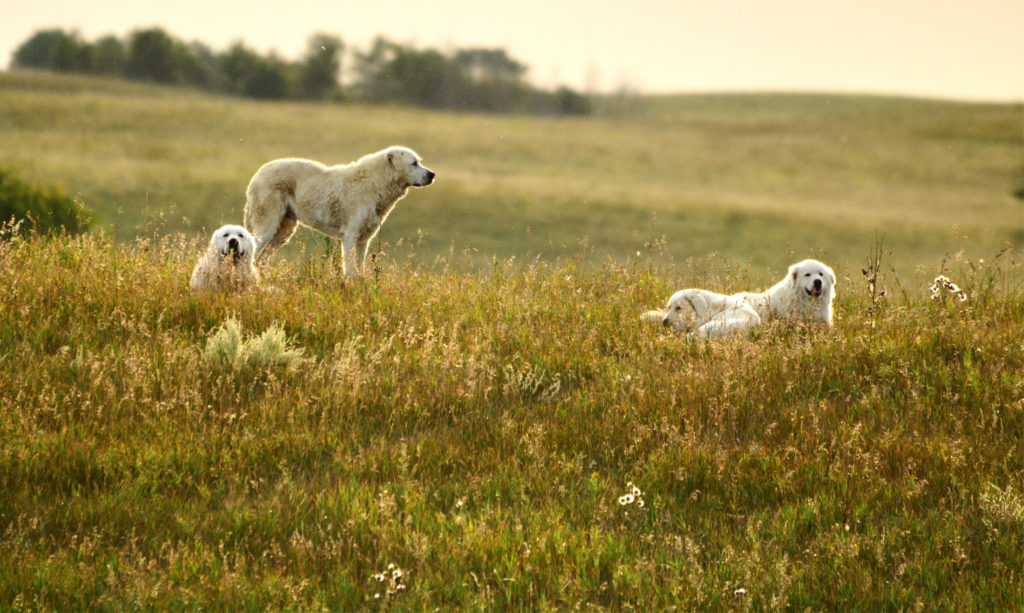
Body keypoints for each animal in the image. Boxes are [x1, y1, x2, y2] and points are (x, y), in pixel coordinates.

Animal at [243, 146, 436, 276]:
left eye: (419, 161)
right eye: (414, 163)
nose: (432, 174)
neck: (377, 183)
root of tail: (257, 174)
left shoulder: (363, 240)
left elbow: (360, 270)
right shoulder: (350, 236)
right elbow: (350, 271)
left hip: (283, 232)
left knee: (262, 258)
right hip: (266, 228)